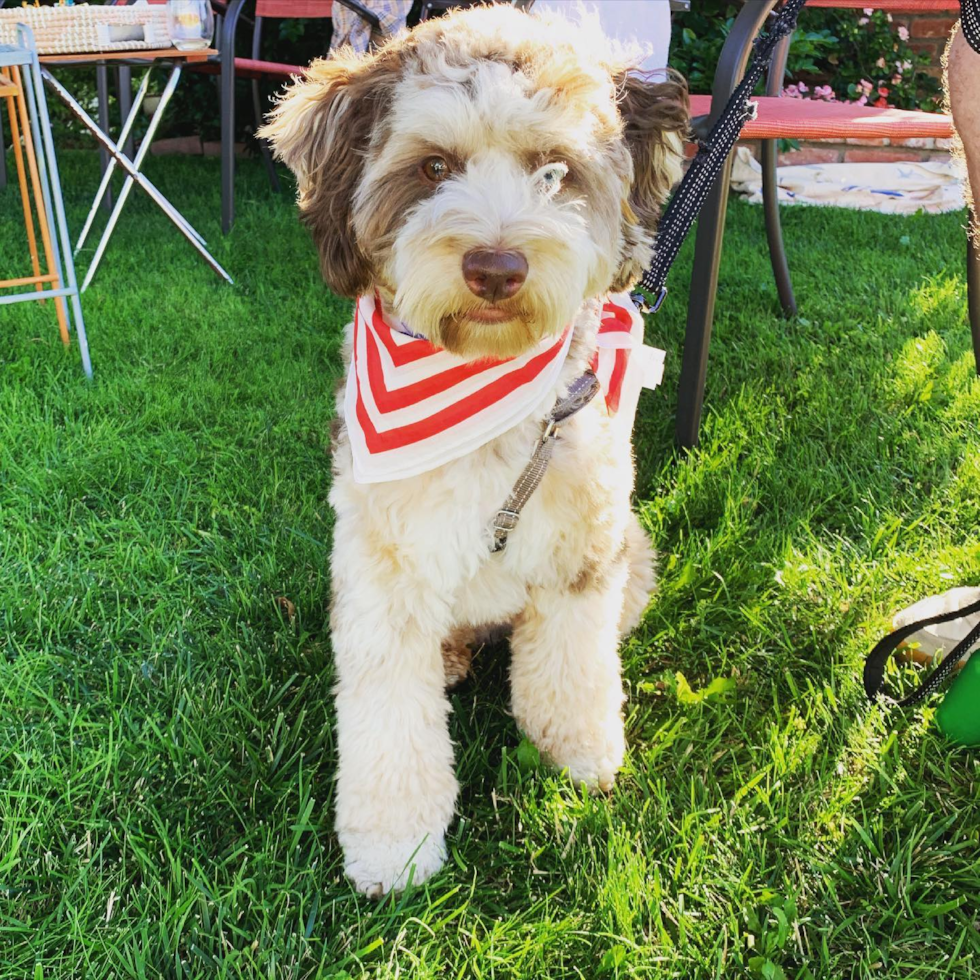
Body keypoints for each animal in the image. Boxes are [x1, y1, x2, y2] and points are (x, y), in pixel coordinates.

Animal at [260, 3, 688, 900]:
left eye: (556, 171)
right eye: (433, 167)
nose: (497, 266)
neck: (482, 380)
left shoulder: (582, 552)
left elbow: (572, 669)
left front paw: (580, 757)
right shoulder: (380, 576)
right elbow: (390, 721)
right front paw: (395, 846)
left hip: (633, 555)